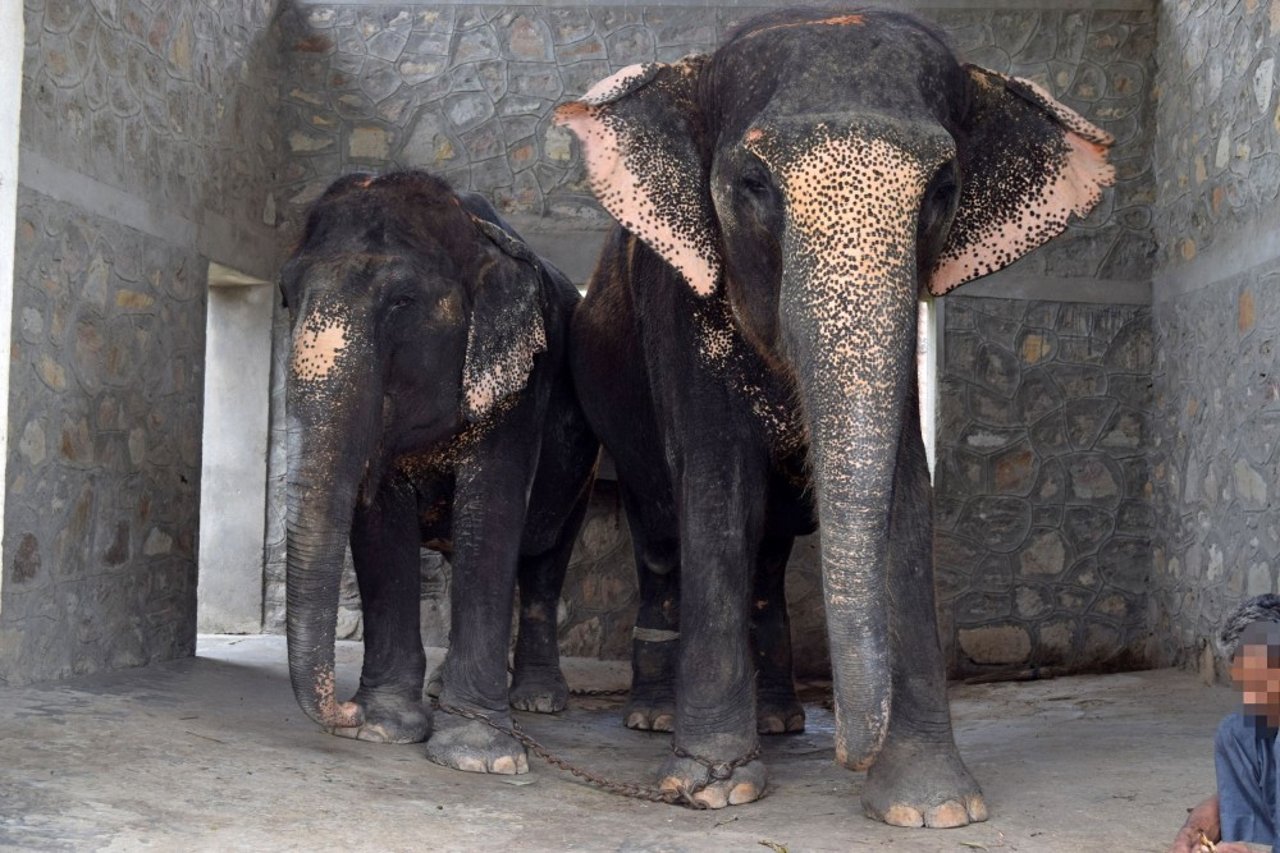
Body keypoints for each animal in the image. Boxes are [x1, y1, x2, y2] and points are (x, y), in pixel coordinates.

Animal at [277, 169, 596, 773]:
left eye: (402, 300)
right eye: (286, 296)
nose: (344, 711)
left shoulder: (522, 387)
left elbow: (490, 515)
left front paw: (480, 757)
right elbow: (379, 523)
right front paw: (382, 728)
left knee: (546, 559)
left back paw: (538, 701)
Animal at [555, 4, 1116, 819]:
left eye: (945, 186)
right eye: (752, 183)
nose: (852, 754)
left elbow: (905, 498)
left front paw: (932, 806)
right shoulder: (682, 315)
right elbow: (718, 491)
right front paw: (714, 788)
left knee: (767, 554)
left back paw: (780, 721)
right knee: (662, 532)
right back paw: (656, 717)